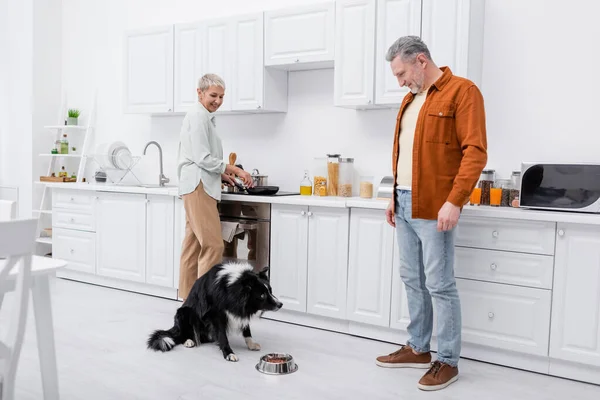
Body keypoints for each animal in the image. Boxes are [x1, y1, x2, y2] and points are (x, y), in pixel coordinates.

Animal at [148, 260, 284, 360]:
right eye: (262, 295)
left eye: (270, 291)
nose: (280, 304)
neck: (231, 288)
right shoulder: (216, 314)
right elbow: (223, 335)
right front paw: (229, 354)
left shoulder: (240, 309)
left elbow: (246, 328)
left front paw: (251, 344)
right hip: (184, 313)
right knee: (181, 335)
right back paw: (189, 341)